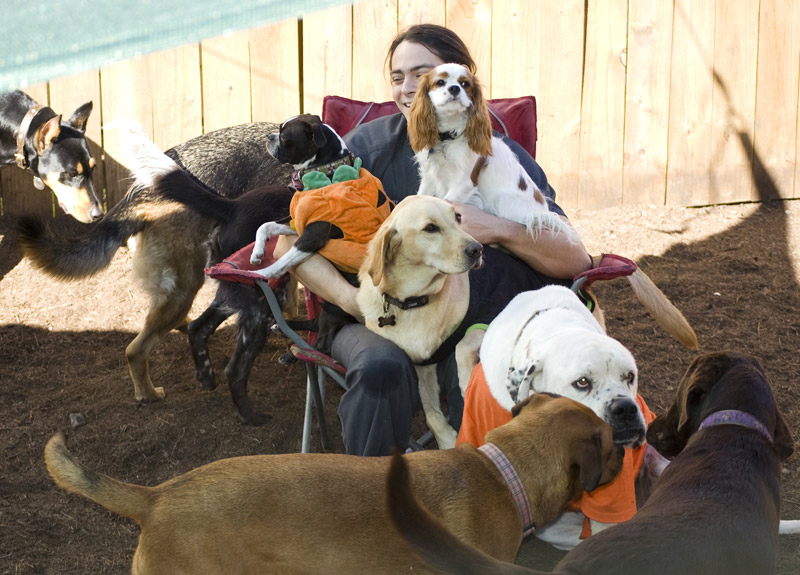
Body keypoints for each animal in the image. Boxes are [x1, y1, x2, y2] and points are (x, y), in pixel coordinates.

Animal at [407, 63, 572, 240]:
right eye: (439, 82)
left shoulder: (463, 182)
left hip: (502, 198)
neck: (448, 137)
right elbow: (418, 198)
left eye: (465, 84)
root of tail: (543, 211)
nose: (454, 88)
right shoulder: (429, 177)